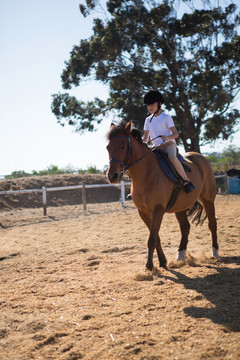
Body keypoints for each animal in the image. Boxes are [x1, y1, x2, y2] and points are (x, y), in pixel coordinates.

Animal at [107, 121, 219, 270]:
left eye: (122, 146)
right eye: (108, 147)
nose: (112, 176)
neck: (147, 173)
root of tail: (199, 156)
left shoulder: (158, 210)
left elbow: (152, 238)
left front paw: (149, 265)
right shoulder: (143, 212)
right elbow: (156, 237)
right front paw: (162, 261)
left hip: (208, 200)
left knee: (212, 224)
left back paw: (215, 252)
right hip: (180, 206)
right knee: (185, 227)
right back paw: (181, 254)